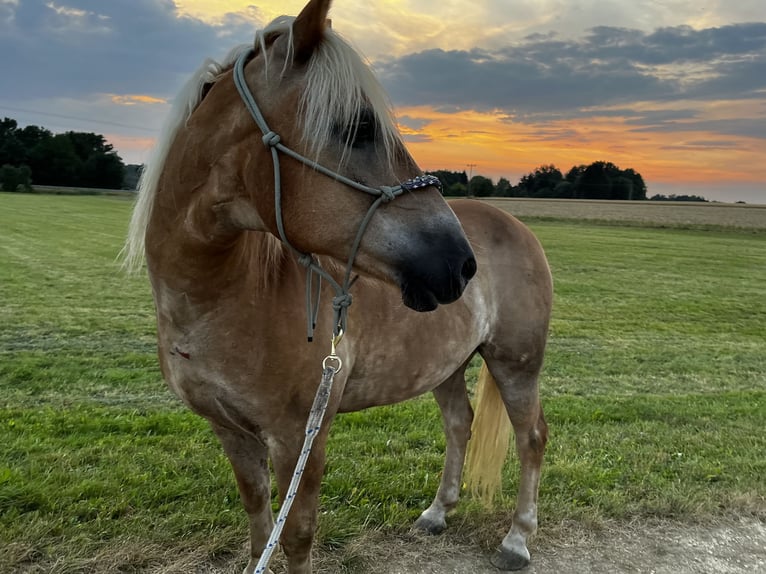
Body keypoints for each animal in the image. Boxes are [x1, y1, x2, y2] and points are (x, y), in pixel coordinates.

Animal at [126, 1, 556, 574]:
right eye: (357, 127)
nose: (460, 264)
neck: (220, 300)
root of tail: (518, 227)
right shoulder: (231, 432)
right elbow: (258, 520)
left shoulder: (299, 438)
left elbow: (295, 536)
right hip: (448, 363)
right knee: (459, 425)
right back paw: (437, 513)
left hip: (516, 362)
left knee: (531, 439)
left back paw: (517, 539)